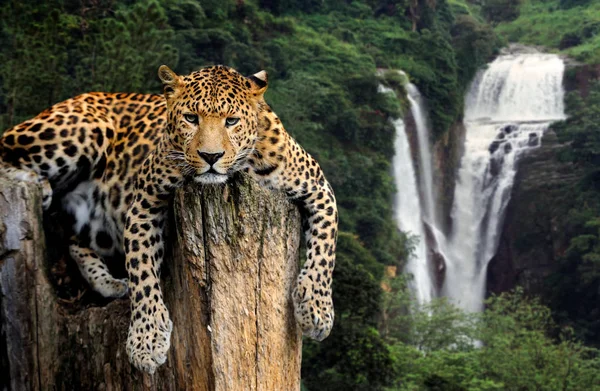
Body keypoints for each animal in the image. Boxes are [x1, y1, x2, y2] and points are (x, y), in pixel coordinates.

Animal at [0, 66, 338, 376]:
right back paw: (38, 184)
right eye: (191, 118)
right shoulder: (144, 202)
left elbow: (324, 251)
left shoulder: (319, 188)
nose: (211, 156)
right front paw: (146, 341)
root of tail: (88, 95)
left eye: (231, 121)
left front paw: (316, 311)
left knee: (73, 240)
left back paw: (110, 282)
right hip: (82, 129)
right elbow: (142, 271)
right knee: (5, 151)